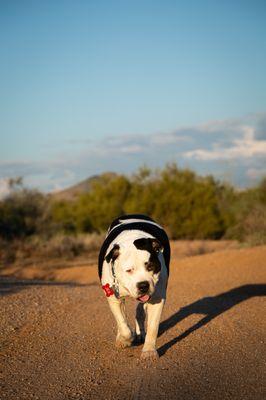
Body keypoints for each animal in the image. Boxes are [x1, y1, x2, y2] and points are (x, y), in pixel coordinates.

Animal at [98, 214, 170, 360]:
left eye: (150, 267)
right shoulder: (114, 298)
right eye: (129, 270)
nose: (143, 285)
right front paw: (125, 339)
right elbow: (123, 324)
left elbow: (153, 327)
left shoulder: (157, 298)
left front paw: (149, 350)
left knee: (140, 310)